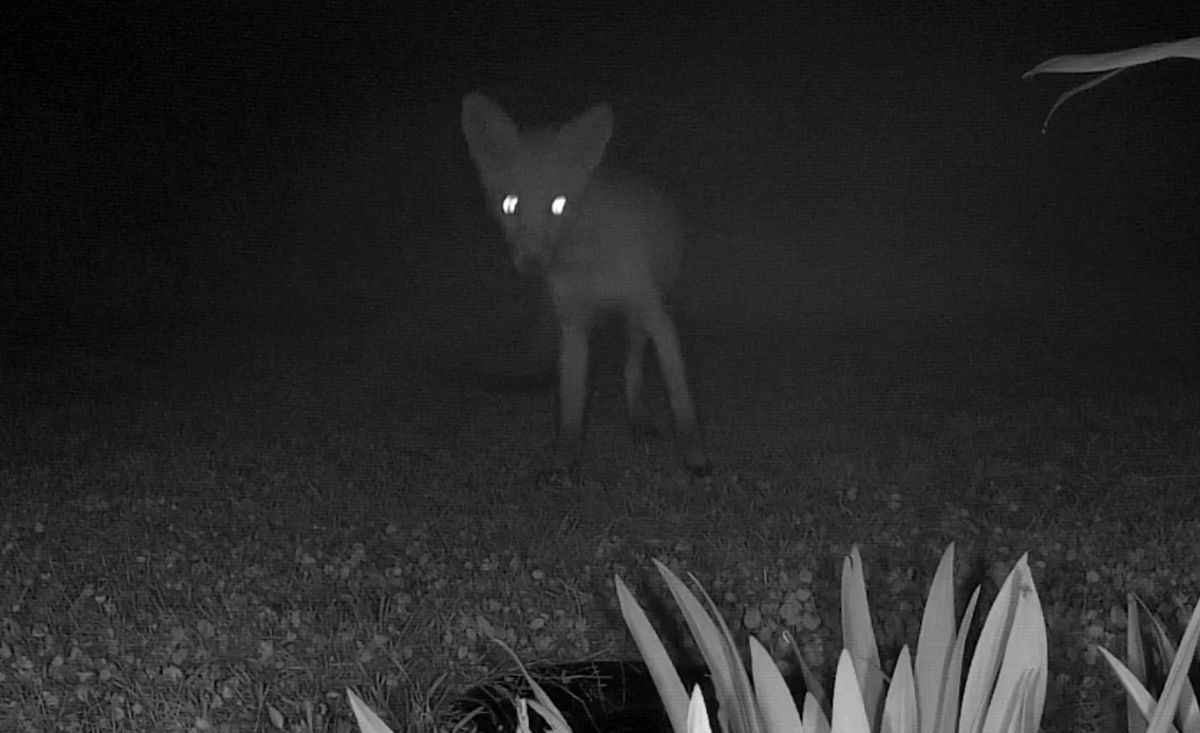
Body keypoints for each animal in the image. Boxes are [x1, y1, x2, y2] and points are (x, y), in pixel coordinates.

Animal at [461, 92, 710, 478]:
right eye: (510, 204)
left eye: (559, 205)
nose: (532, 262)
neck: (587, 263)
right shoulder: (574, 324)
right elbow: (572, 405)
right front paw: (564, 465)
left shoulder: (655, 315)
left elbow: (680, 396)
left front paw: (695, 456)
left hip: (637, 321)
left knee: (631, 368)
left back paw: (639, 422)